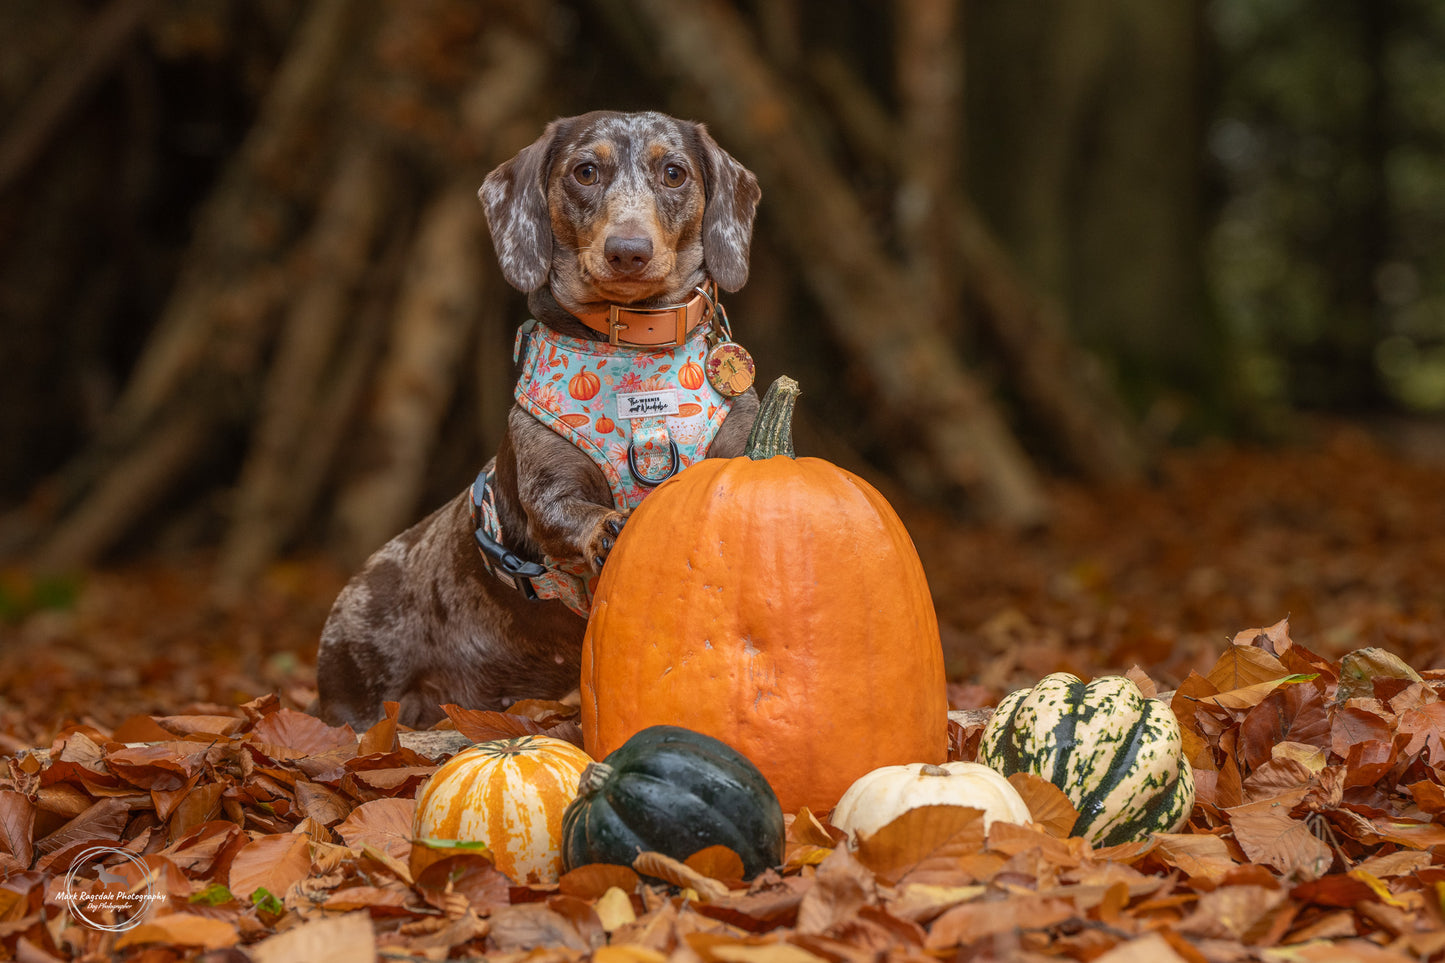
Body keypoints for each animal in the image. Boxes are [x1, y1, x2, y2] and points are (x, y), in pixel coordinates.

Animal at [315, 110, 762, 728]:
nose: (628, 250)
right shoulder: (547, 486)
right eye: (585, 171)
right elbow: (568, 513)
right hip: (361, 694)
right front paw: (609, 527)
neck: (636, 358)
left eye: (674, 172)